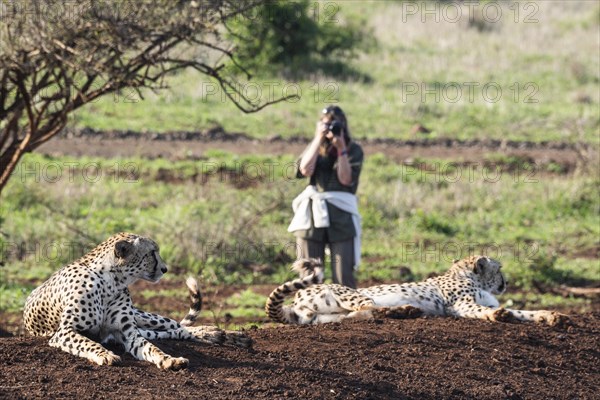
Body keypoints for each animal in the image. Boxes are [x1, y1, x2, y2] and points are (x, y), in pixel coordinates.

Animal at [23, 233, 251, 370]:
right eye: (151, 253)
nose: (165, 269)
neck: (110, 282)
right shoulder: (64, 331)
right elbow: (87, 342)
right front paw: (105, 355)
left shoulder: (128, 332)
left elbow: (151, 347)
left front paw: (169, 359)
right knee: (169, 331)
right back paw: (218, 335)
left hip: (142, 315)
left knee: (176, 327)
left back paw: (223, 335)